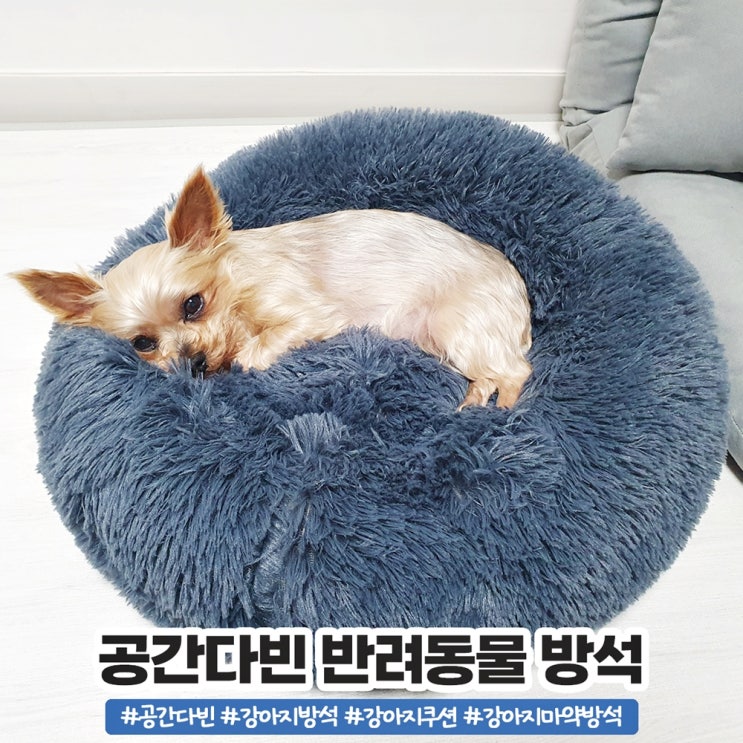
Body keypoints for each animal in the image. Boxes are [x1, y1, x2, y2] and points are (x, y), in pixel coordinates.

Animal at [13, 167, 532, 409]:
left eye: (193, 304)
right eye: (142, 343)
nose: (195, 365)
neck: (236, 286)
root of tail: (519, 292)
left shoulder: (305, 312)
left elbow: (257, 349)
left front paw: (244, 358)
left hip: (457, 326)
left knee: (516, 372)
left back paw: (503, 415)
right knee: (490, 374)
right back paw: (472, 403)